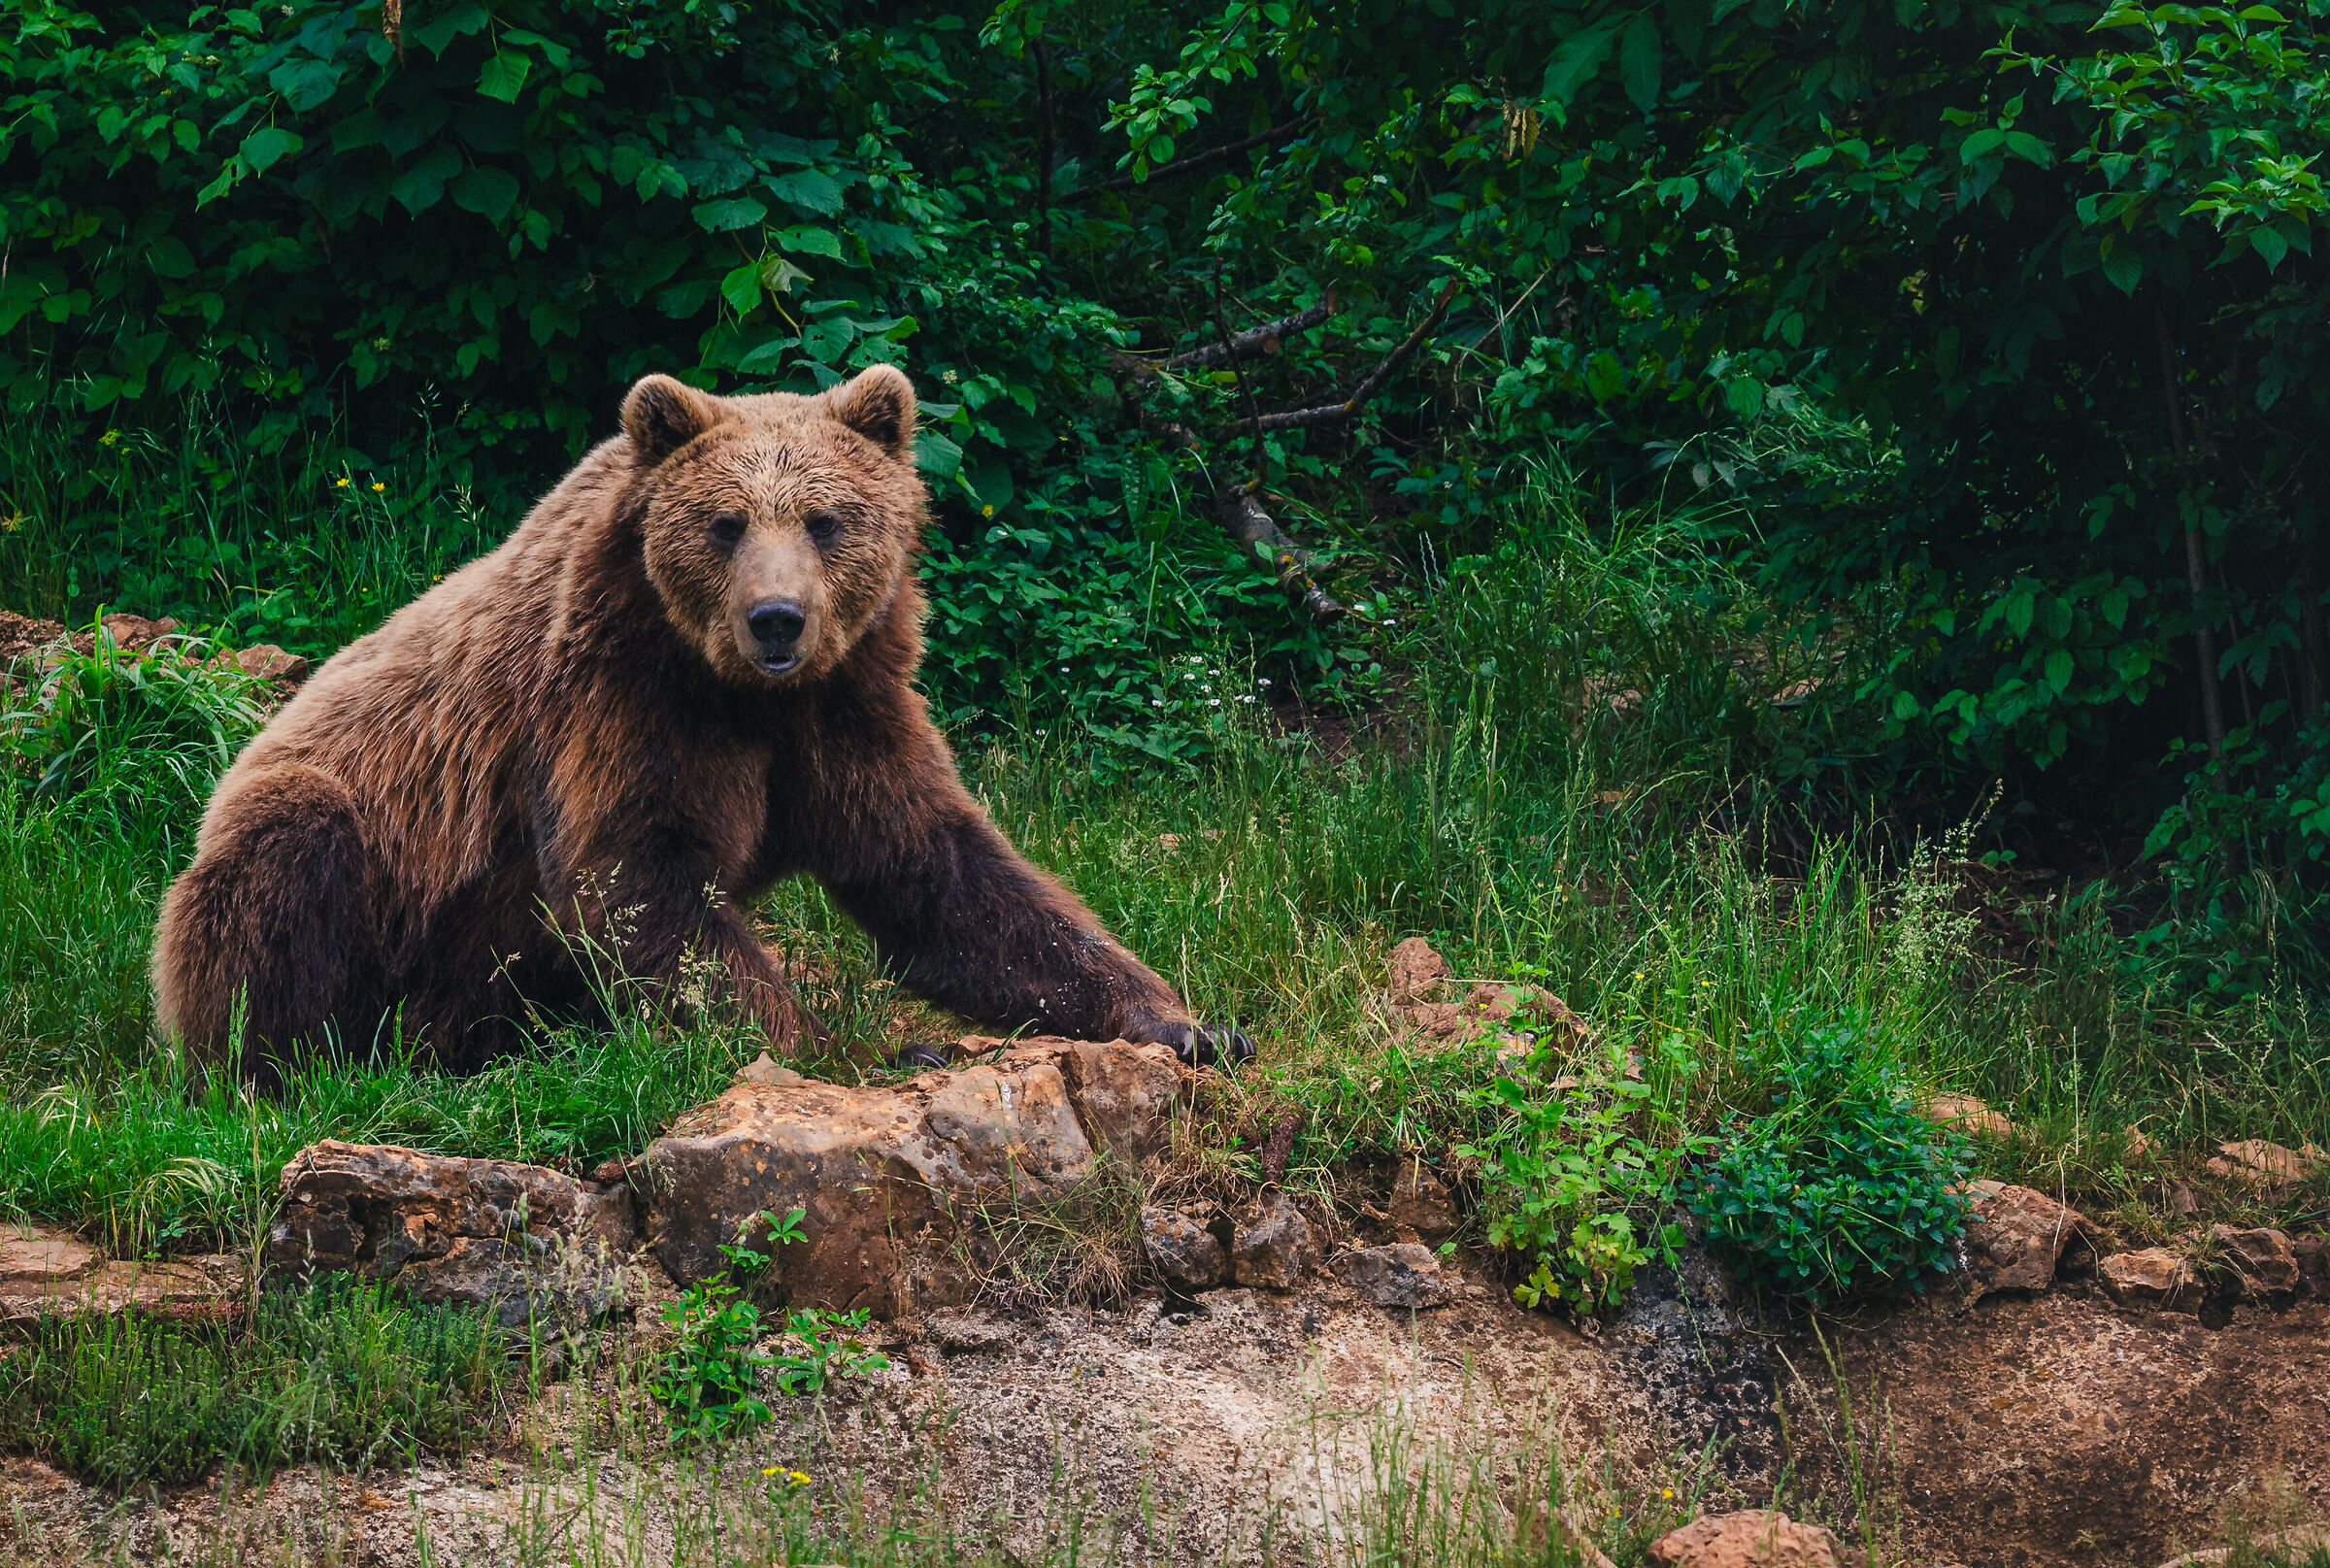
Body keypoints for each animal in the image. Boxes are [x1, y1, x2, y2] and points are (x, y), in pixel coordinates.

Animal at [152, 365, 1248, 1085]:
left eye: (826, 520)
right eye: (725, 524)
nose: (778, 619)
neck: (742, 690)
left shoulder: (844, 708)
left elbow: (944, 873)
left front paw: (1184, 1021)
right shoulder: (620, 698)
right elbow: (641, 878)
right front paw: (872, 1046)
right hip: (350, 849)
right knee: (285, 879)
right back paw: (299, 1067)